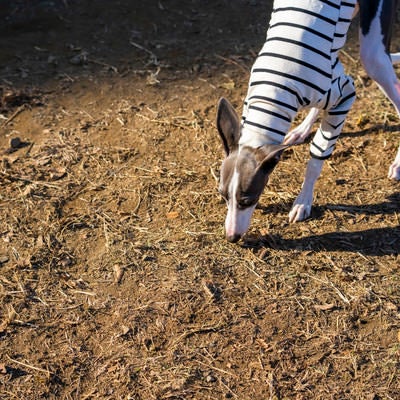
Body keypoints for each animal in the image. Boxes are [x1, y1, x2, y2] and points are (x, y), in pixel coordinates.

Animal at [217, 0, 398, 242]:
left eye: (248, 200)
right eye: (223, 195)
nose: (231, 237)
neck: (272, 92)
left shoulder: (345, 96)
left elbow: (316, 159)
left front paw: (303, 202)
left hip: (374, 56)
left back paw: (398, 163)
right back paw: (301, 130)